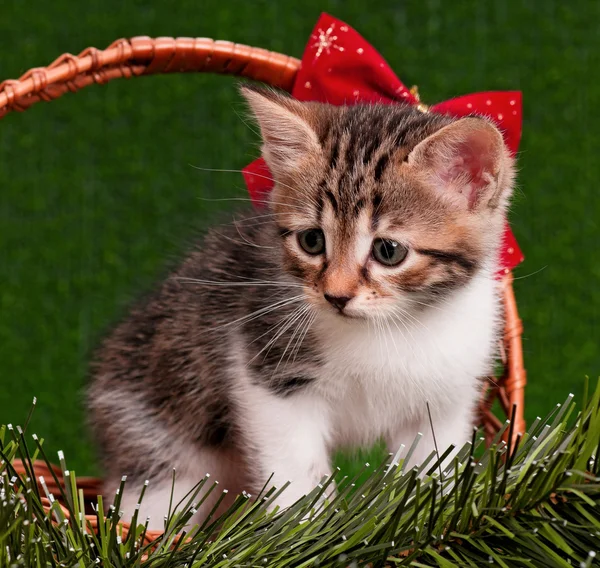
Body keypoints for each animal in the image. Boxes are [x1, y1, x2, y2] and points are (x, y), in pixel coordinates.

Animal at [86, 84, 512, 528]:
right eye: (312, 240)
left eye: (388, 251)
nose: (336, 296)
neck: (393, 327)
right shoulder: (265, 372)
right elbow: (294, 471)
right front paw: (307, 529)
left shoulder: (448, 398)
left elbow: (432, 466)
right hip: (156, 435)